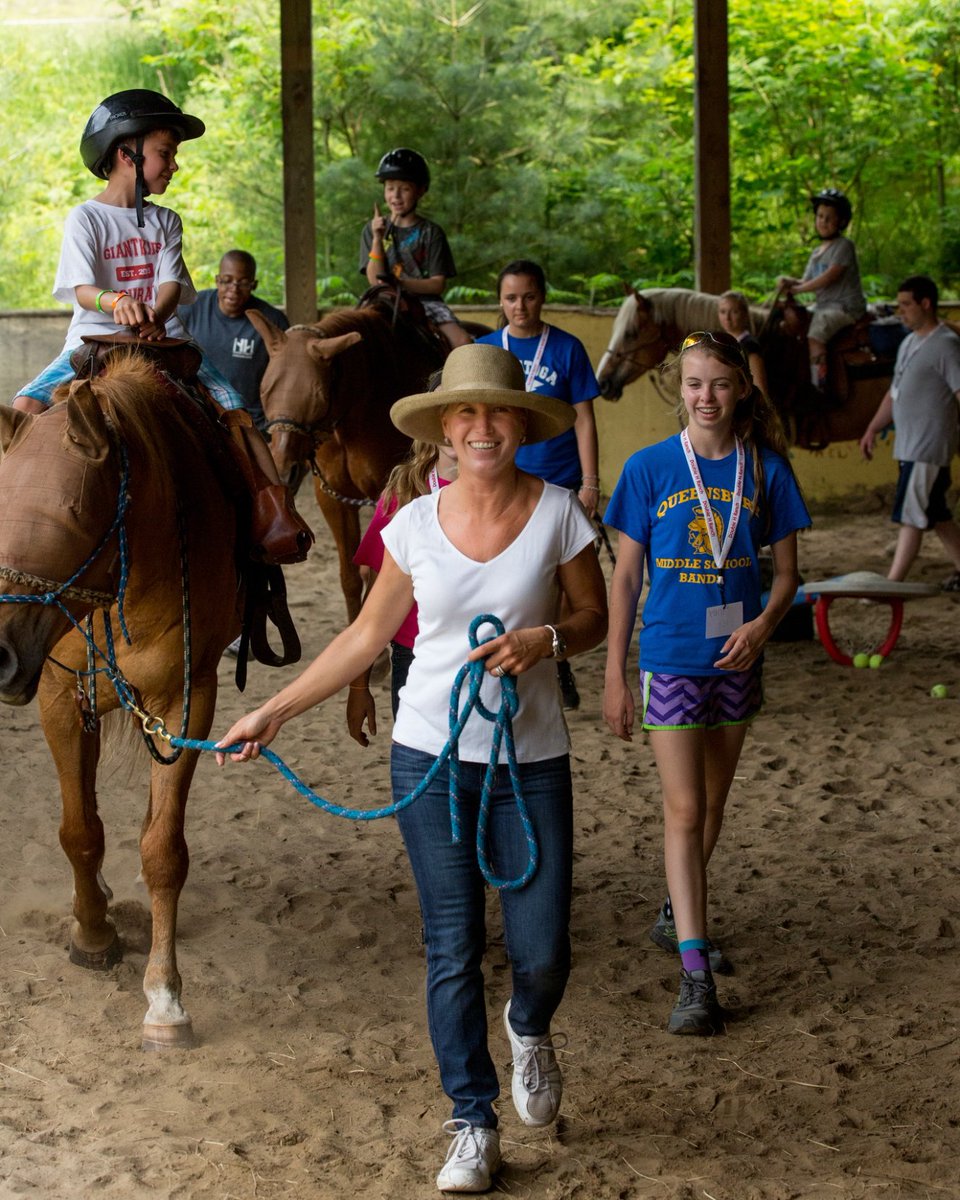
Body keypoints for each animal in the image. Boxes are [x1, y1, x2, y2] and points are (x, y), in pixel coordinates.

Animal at [0, 355, 243, 1051]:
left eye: (73, 511)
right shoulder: (59, 695)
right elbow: (79, 831)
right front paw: (92, 934)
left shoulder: (188, 703)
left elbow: (162, 850)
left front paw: (164, 996)